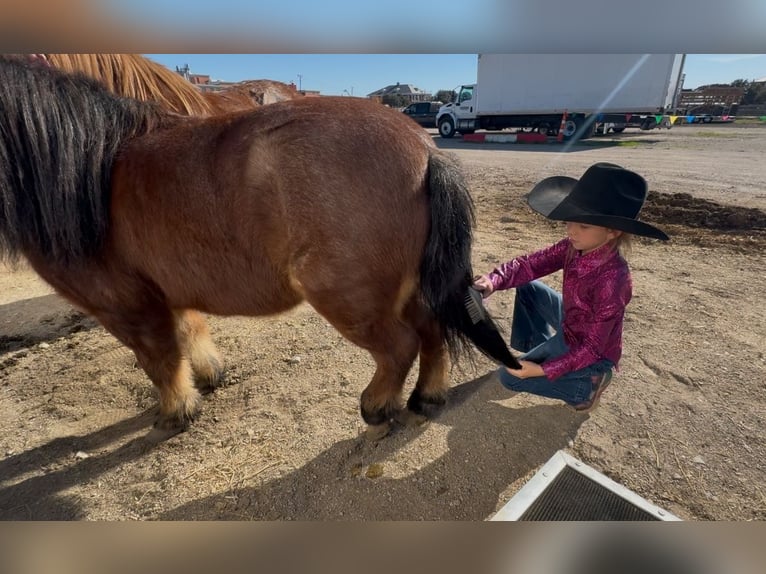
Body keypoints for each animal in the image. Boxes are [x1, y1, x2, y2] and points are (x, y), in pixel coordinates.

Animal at [1, 55, 520, 440]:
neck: (94, 167)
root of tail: (425, 148)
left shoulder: (125, 304)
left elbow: (159, 359)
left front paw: (176, 412)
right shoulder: (166, 290)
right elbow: (188, 333)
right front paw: (208, 377)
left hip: (348, 297)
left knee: (400, 346)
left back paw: (377, 406)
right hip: (405, 288)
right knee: (432, 331)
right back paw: (426, 398)